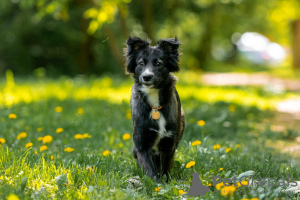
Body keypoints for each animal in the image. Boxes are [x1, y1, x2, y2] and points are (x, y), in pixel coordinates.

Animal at [124, 36, 185, 182]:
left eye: (158, 63)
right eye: (141, 63)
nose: (147, 77)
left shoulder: (168, 143)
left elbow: (165, 170)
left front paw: (166, 184)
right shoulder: (141, 144)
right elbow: (150, 171)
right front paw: (155, 184)